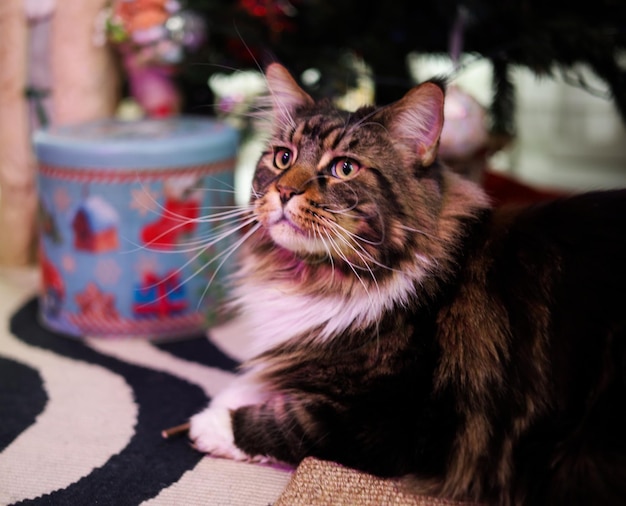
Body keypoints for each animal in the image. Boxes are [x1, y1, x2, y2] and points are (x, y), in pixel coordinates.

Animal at [188, 63, 624, 506]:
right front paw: (235, 391)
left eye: (345, 168)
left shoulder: (393, 420)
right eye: (282, 158)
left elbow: (288, 421)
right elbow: (265, 381)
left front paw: (210, 422)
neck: (324, 277)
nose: (284, 190)